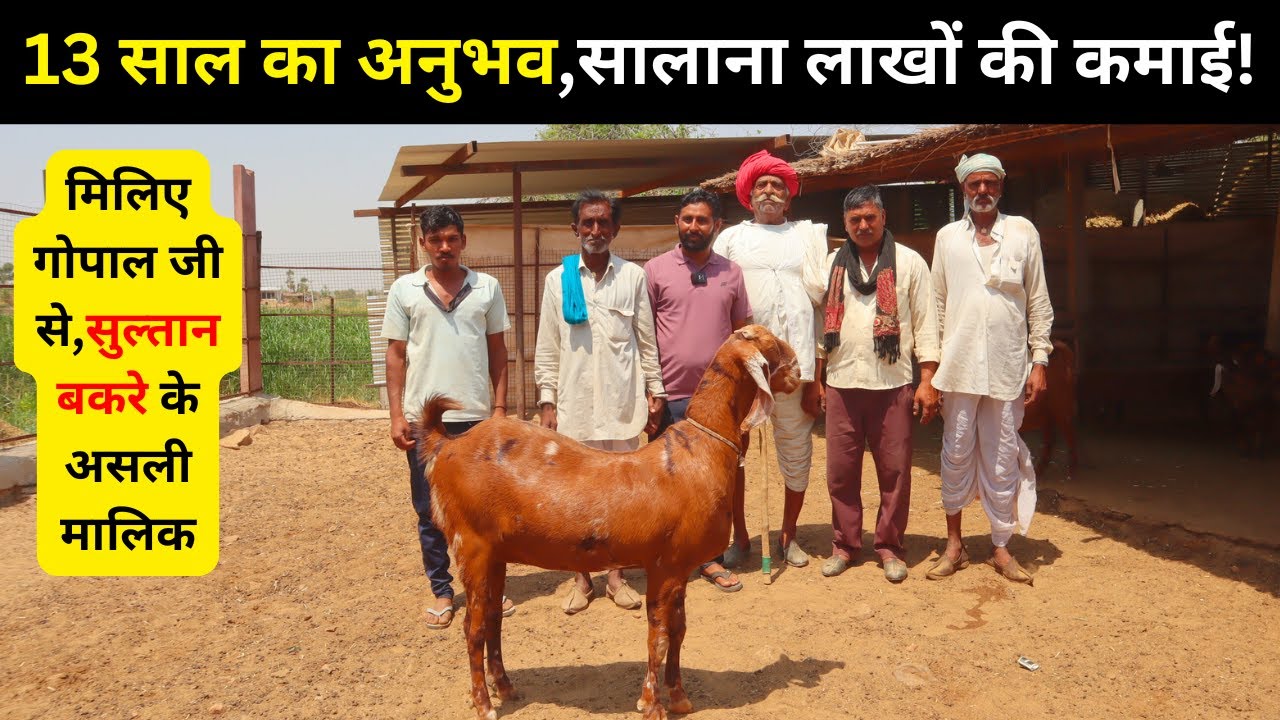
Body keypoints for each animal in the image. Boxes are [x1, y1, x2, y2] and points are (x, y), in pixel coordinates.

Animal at [416, 325, 801, 720]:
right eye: (769, 343)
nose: (799, 371)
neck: (696, 454)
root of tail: (445, 444)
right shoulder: (664, 565)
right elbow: (659, 635)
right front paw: (651, 704)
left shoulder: (680, 567)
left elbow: (679, 630)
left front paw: (679, 697)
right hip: (471, 544)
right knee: (473, 626)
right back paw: (484, 703)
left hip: (495, 553)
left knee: (493, 616)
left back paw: (505, 687)